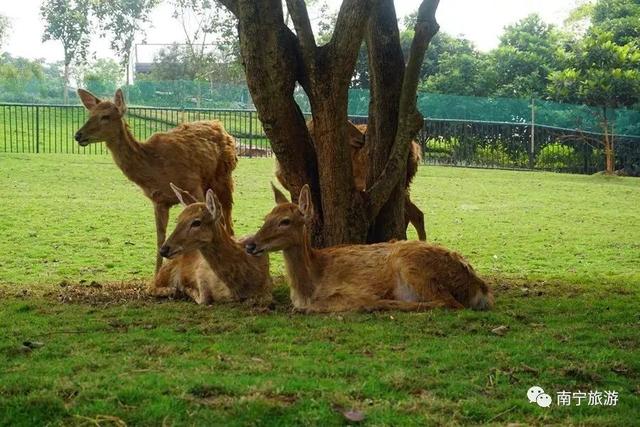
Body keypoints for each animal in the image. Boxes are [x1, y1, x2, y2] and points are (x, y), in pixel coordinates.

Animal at [73, 89, 238, 274]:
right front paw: (157, 275)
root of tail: (220, 125)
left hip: (224, 178)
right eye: (90, 114)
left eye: (105, 116)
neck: (155, 170)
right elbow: (161, 238)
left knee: (228, 220)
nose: (78, 135)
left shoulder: (193, 186)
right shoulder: (158, 201)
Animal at [242, 185, 492, 314]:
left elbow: (320, 306)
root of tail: (480, 287)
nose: (250, 244)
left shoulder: (353, 289)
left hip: (411, 264)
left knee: (449, 303)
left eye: (285, 221)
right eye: (266, 217)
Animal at [274, 120, 424, 241]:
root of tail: (417, 151)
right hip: (406, 181)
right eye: (344, 124)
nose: (363, 137)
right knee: (413, 213)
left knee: (414, 214)